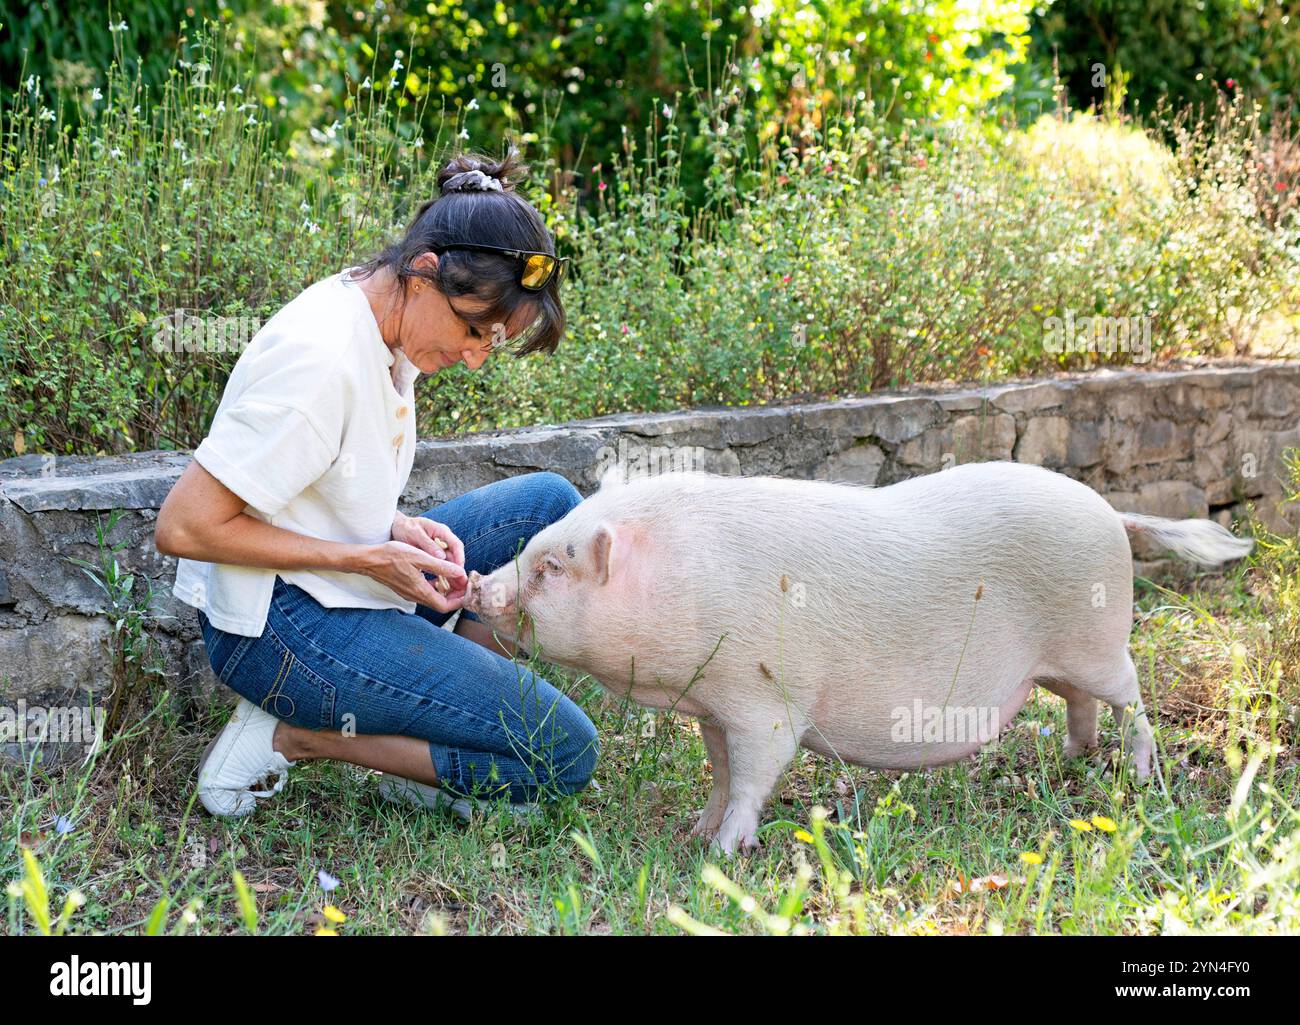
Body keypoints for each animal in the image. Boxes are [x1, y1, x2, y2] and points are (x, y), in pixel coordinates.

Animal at [462, 460, 1253, 853]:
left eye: (551, 569)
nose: (478, 582)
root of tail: (1111, 510)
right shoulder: (713, 707)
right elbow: (719, 773)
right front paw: (695, 831)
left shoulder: (764, 699)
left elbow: (755, 774)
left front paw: (723, 853)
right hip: (1060, 659)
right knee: (1080, 703)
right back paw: (1073, 758)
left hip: (1099, 640)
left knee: (1133, 699)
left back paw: (1139, 777)